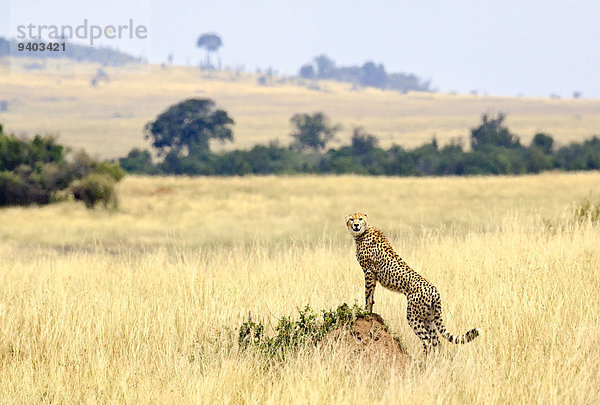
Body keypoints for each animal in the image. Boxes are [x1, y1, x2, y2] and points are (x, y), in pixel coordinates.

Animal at [346, 211, 478, 354]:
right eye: (351, 219)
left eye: (360, 218)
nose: (356, 225)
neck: (363, 233)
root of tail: (433, 289)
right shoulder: (373, 274)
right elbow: (372, 296)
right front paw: (370, 312)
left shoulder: (369, 272)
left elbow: (368, 295)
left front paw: (365, 312)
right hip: (429, 317)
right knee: (436, 341)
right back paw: (435, 359)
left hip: (413, 316)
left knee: (427, 340)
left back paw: (423, 359)